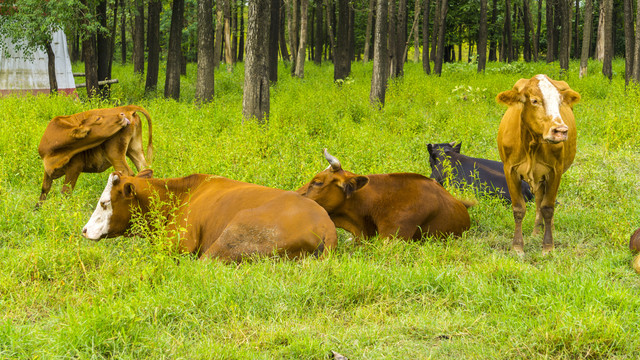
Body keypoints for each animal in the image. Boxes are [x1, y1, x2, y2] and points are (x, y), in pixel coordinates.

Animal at [498, 73, 584, 255]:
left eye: (559, 102)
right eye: (535, 101)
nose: (560, 131)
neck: (532, 143)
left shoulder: (555, 171)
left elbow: (548, 208)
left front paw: (548, 246)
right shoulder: (510, 170)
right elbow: (519, 208)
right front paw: (517, 247)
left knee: (544, 202)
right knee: (538, 199)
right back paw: (536, 231)